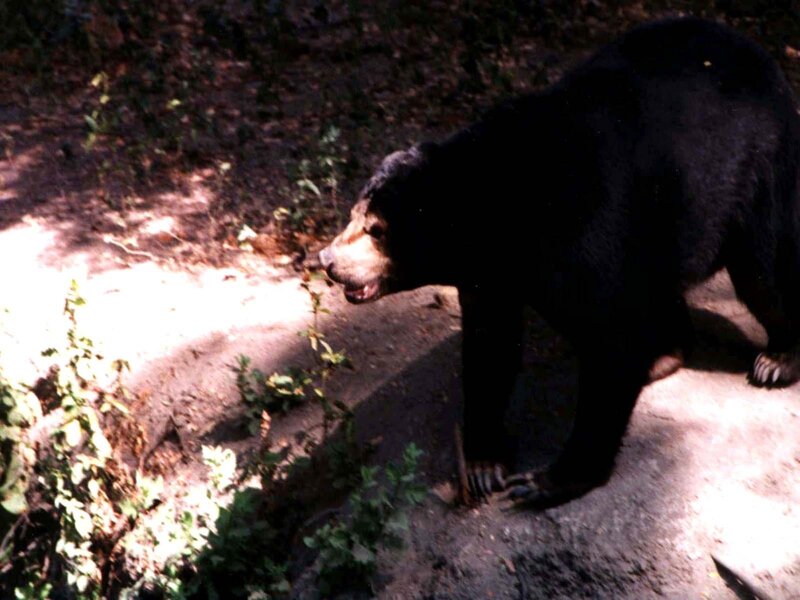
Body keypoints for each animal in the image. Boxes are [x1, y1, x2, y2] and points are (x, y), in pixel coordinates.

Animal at [318, 17, 800, 506]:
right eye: (355, 213)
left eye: (376, 230)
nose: (328, 261)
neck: (501, 212)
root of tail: (758, 54)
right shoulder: (491, 271)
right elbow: (490, 342)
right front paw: (485, 464)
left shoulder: (588, 225)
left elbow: (610, 337)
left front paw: (543, 480)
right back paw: (664, 353)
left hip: (756, 170)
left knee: (763, 273)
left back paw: (776, 359)